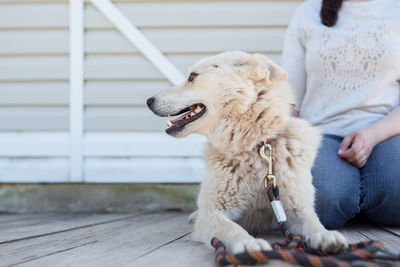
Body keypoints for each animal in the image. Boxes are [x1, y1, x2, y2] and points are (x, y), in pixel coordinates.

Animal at [147, 51, 346, 254]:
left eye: (193, 76)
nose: (149, 101)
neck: (253, 147)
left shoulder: (295, 208)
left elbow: (313, 222)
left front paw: (326, 235)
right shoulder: (212, 214)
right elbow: (232, 228)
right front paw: (249, 243)